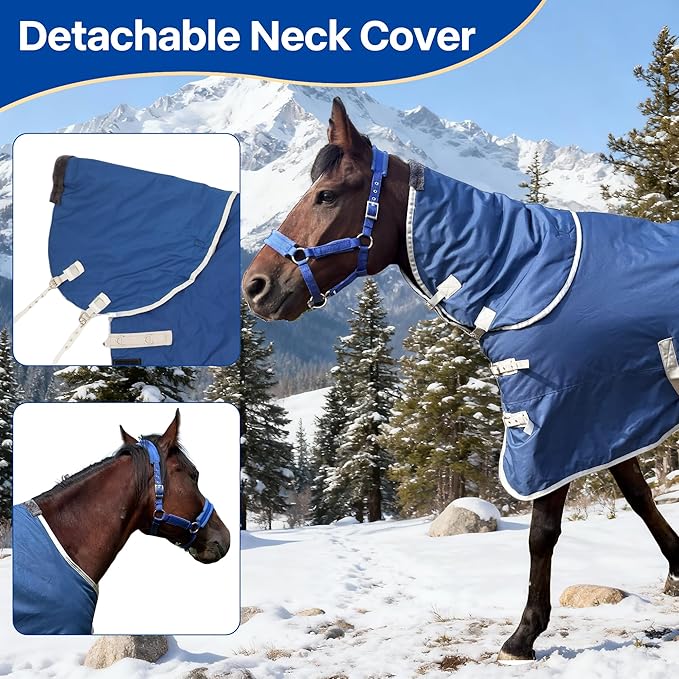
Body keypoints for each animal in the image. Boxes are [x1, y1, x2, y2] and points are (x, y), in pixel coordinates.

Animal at [242, 97, 679, 662]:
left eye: (327, 194)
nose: (255, 286)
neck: (520, 275)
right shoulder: (604, 415)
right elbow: (641, 498)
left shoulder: (552, 423)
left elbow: (542, 532)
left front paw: (524, 635)